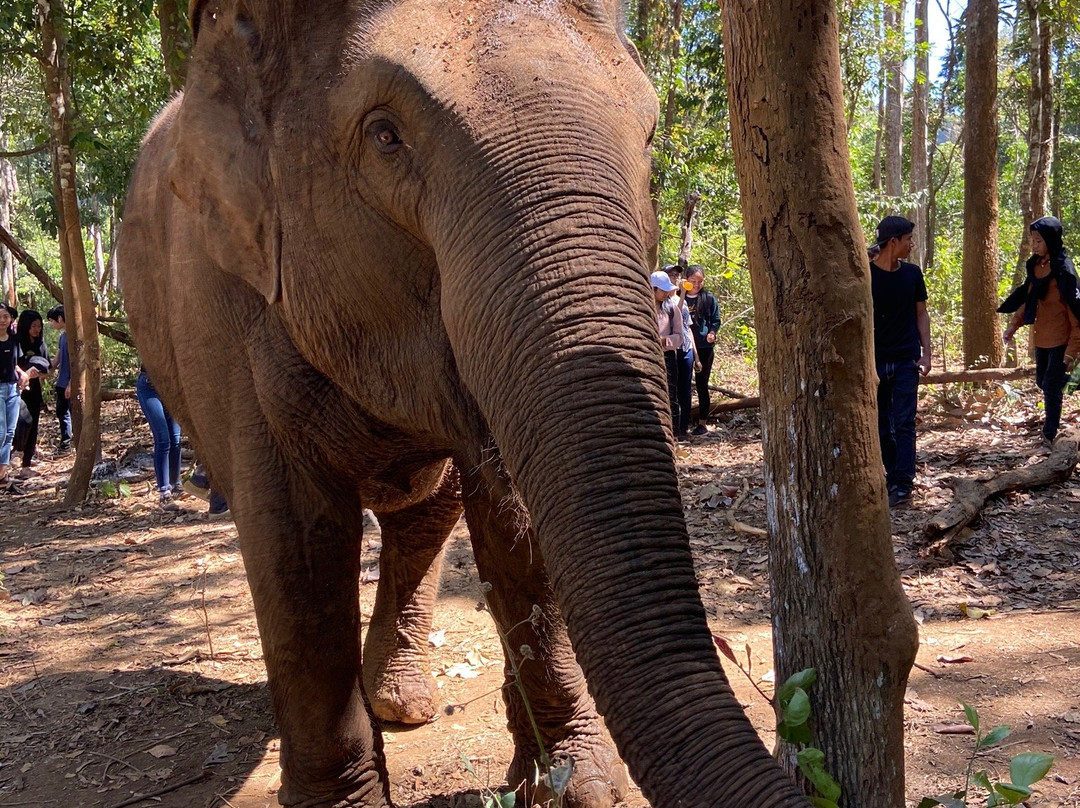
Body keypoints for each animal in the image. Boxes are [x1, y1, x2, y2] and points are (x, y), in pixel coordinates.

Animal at [118, 1, 812, 808]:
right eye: (384, 135)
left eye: (646, 134)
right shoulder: (222, 300)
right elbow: (293, 547)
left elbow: (519, 516)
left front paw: (575, 784)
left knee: (426, 510)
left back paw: (400, 702)